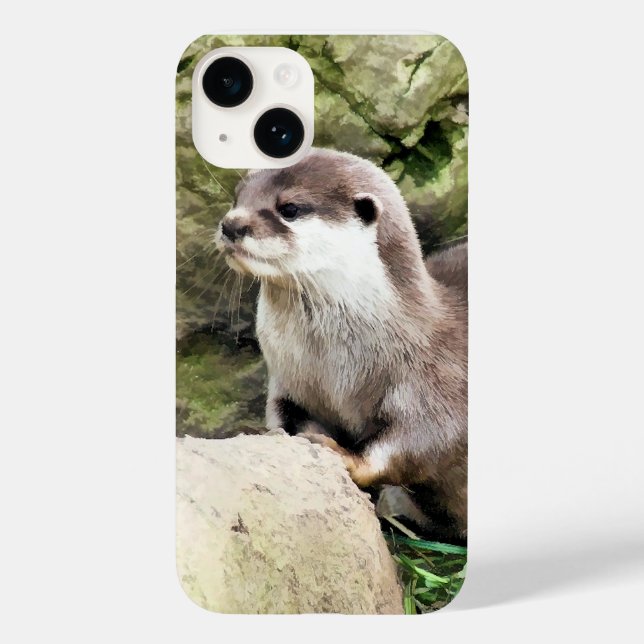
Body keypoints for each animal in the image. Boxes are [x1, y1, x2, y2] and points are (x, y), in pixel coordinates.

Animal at [215, 148, 467, 543]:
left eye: (289, 208)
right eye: (237, 197)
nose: (231, 225)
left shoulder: (438, 379)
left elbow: (429, 439)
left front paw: (345, 456)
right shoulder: (288, 382)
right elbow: (283, 414)